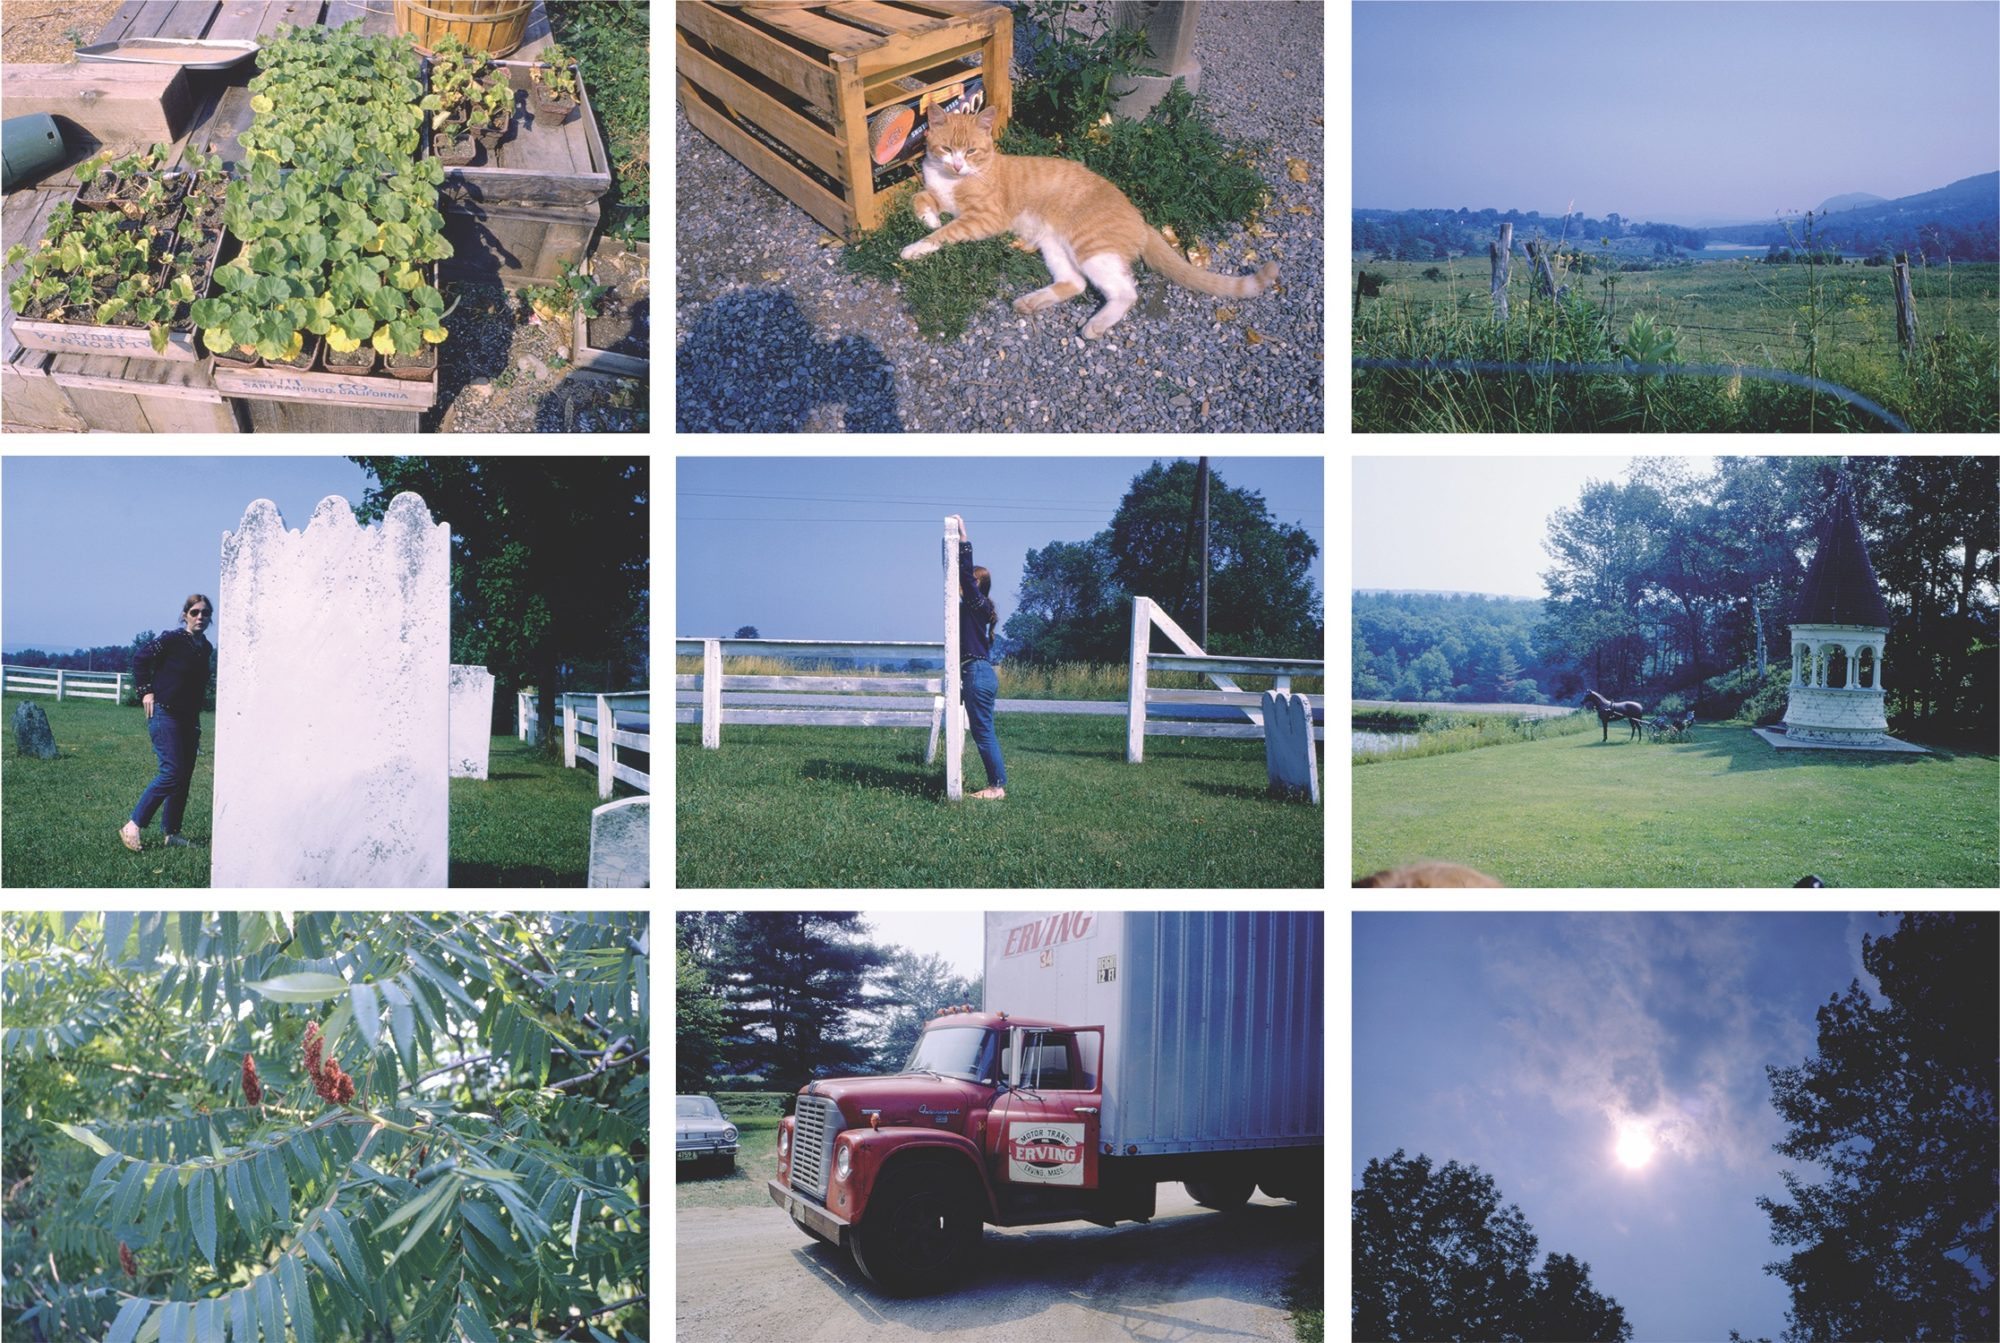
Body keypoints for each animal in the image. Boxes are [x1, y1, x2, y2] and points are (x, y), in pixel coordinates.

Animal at [900, 107, 1272, 337]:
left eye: (972, 152)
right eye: (947, 149)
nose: (958, 165)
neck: (953, 180)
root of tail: (1139, 217)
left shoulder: (985, 217)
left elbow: (948, 232)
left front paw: (916, 247)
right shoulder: (937, 194)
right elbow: (919, 199)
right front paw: (929, 218)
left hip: (1092, 249)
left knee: (1125, 292)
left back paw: (1096, 325)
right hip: (1055, 247)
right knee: (1075, 283)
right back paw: (1031, 302)